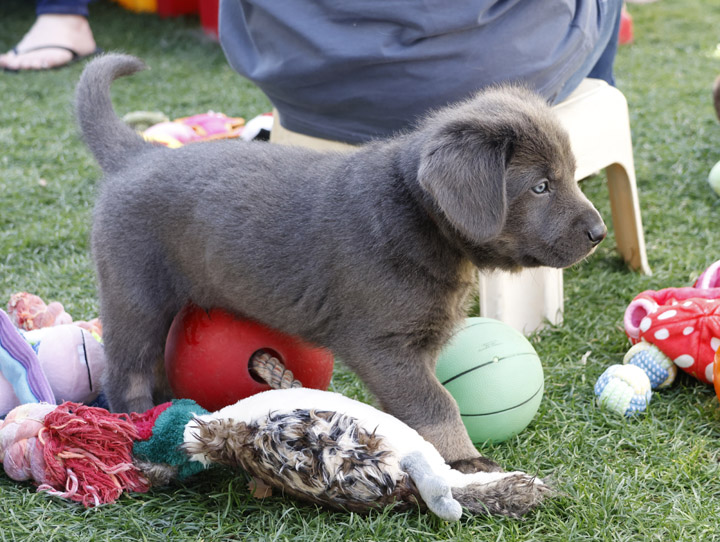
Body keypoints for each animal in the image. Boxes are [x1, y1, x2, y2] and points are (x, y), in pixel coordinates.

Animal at [76, 54, 604, 516]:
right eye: (540, 186)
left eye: (571, 176)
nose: (599, 233)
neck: (418, 217)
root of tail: (136, 156)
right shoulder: (383, 345)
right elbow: (437, 403)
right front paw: (466, 464)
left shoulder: (421, 341)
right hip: (135, 296)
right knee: (125, 373)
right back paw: (146, 445)